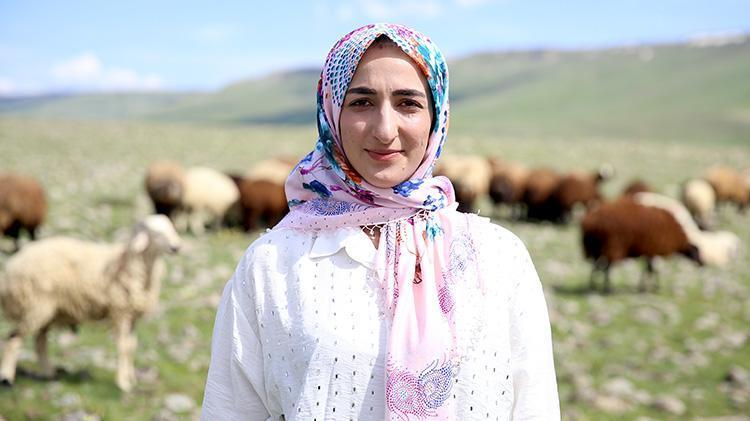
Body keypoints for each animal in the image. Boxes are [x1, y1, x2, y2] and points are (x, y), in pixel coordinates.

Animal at [0, 214, 181, 391]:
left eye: (171, 228)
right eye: (156, 233)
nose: (176, 247)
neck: (130, 263)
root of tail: (13, 264)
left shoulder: (132, 316)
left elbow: (131, 347)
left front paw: (132, 379)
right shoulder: (120, 311)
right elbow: (123, 347)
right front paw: (123, 383)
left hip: (45, 310)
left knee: (40, 341)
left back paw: (48, 373)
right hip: (35, 305)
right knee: (13, 339)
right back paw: (7, 378)